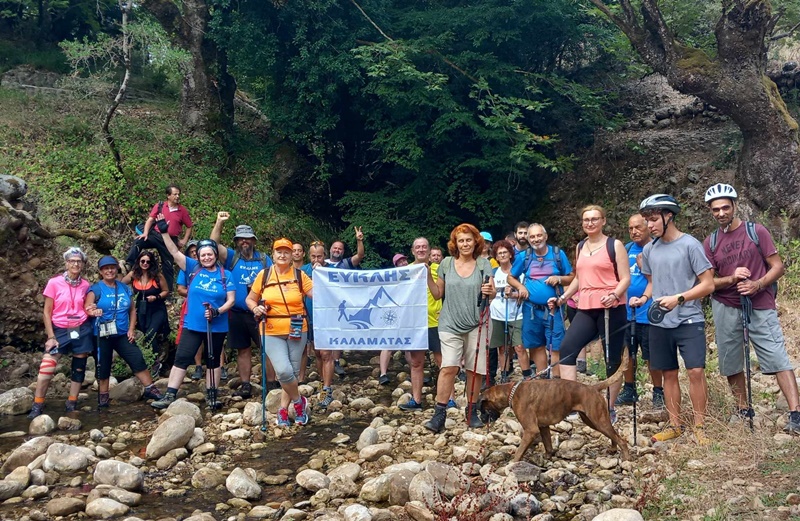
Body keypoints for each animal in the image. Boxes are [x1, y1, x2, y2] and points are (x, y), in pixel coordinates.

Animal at [476, 352, 632, 462]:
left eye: (483, 409)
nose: (482, 420)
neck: (511, 392)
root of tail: (592, 387)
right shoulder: (543, 427)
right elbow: (548, 445)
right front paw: (548, 457)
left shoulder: (531, 430)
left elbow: (519, 451)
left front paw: (512, 464)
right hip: (592, 421)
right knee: (613, 434)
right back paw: (613, 449)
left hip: (598, 420)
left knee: (621, 440)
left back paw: (626, 458)